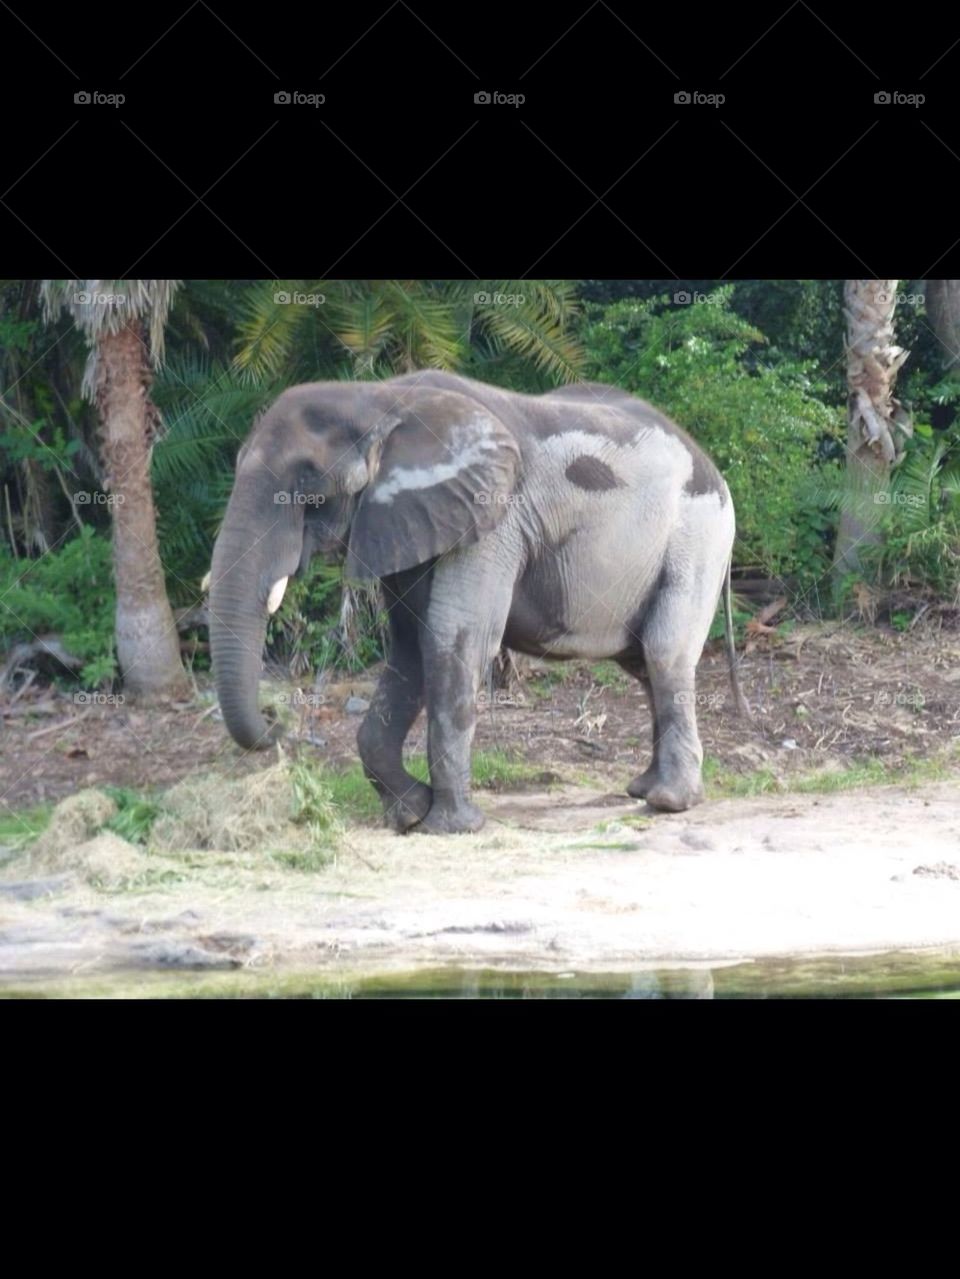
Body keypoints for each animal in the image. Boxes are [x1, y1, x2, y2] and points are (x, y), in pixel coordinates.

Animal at [208, 369, 747, 834]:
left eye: (308, 485)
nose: (277, 722)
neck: (378, 397)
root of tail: (711, 464)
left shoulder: (494, 517)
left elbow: (454, 638)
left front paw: (450, 827)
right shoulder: (408, 518)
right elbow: (409, 646)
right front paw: (409, 814)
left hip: (698, 534)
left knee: (664, 653)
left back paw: (669, 802)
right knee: (643, 665)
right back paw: (643, 789)